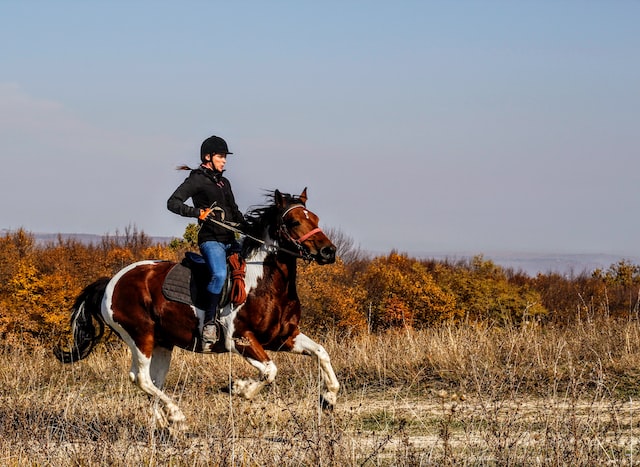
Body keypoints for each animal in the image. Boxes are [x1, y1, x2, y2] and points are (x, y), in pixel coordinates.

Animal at [55, 189, 340, 428]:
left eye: (315, 218)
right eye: (294, 222)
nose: (329, 252)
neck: (264, 281)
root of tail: (112, 282)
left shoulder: (284, 337)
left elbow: (321, 353)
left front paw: (329, 398)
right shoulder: (241, 339)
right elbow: (270, 371)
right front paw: (239, 388)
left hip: (162, 343)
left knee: (152, 381)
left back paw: (164, 422)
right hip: (140, 336)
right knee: (141, 378)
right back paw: (176, 416)